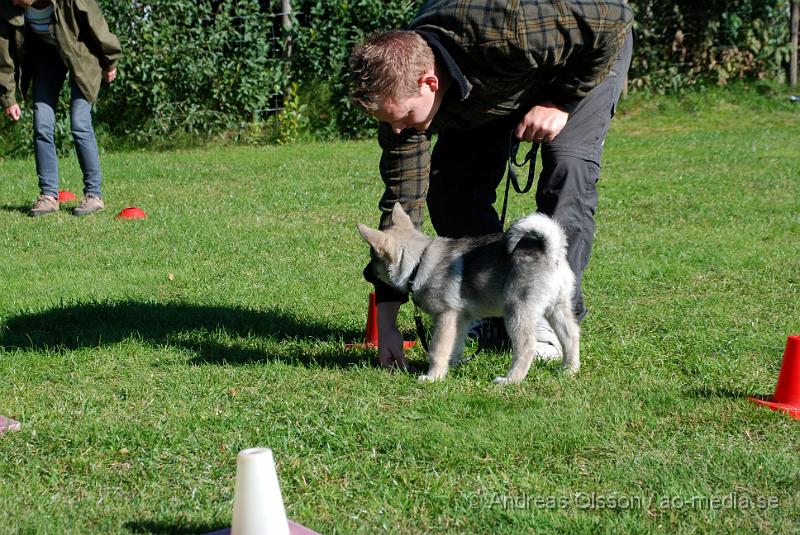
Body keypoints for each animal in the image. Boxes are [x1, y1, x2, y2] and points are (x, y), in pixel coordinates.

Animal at [360, 203, 580, 384]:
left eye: (373, 258)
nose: (364, 273)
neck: (419, 263)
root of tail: (551, 253)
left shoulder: (445, 316)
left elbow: (437, 349)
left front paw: (433, 377)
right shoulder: (460, 319)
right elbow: (454, 345)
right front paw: (451, 367)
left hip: (516, 313)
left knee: (527, 348)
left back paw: (510, 380)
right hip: (557, 309)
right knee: (571, 336)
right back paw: (569, 370)